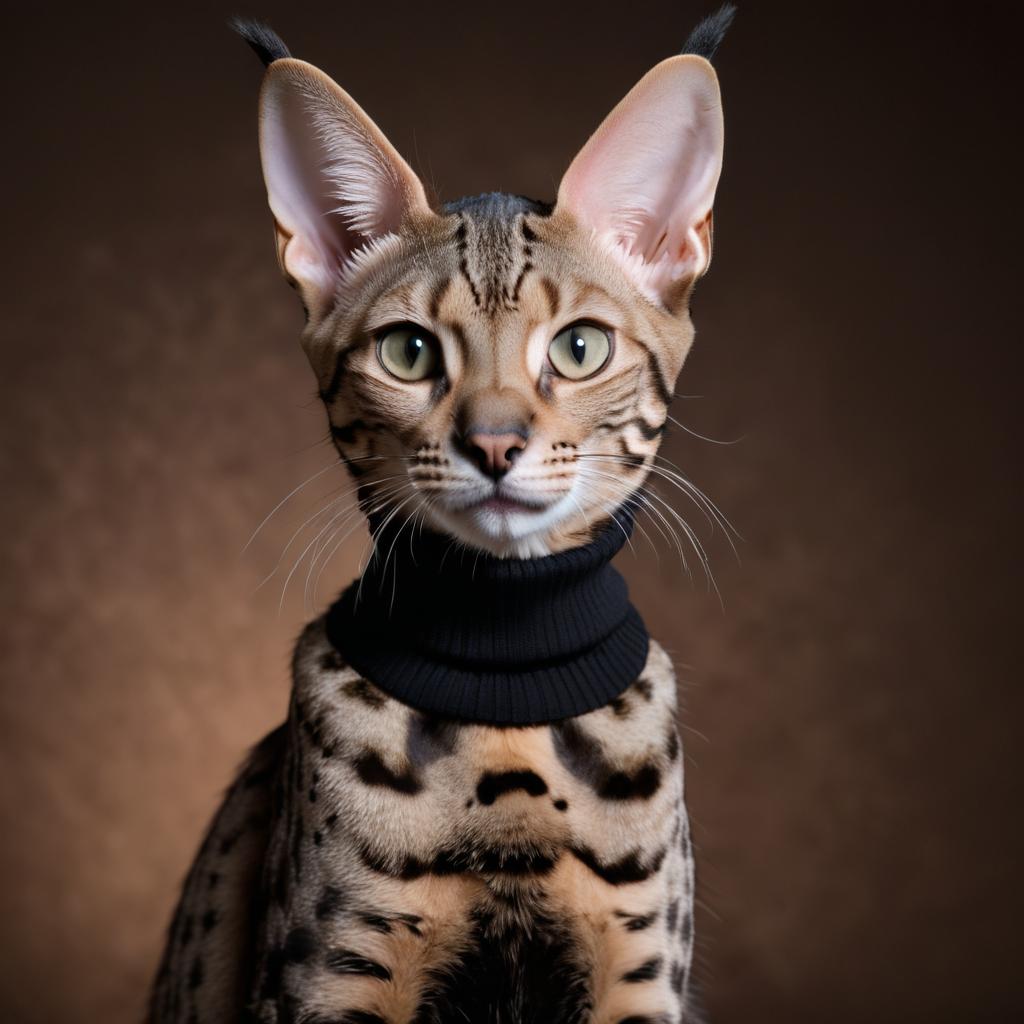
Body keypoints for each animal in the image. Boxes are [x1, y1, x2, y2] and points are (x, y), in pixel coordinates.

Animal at [148, 8, 733, 1024]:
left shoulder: (642, 975)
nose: (493, 445)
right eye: (409, 352)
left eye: (580, 349)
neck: (505, 665)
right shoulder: (329, 977)